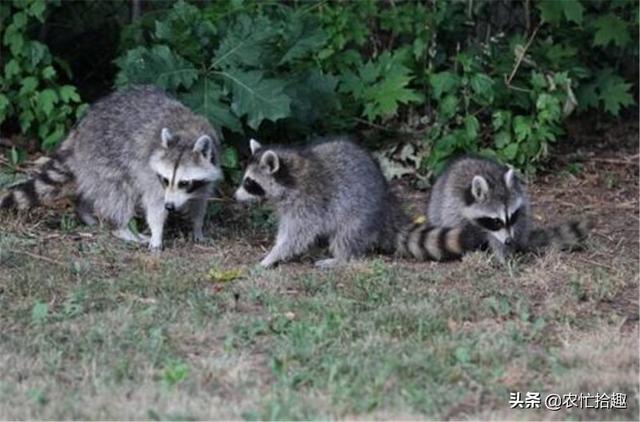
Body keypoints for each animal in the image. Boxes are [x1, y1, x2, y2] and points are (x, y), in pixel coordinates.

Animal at [0, 86, 221, 251]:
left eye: (184, 182)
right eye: (166, 180)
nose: (171, 206)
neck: (186, 133)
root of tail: (80, 130)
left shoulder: (208, 168)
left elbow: (200, 200)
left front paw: (197, 227)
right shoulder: (150, 173)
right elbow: (154, 203)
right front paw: (157, 232)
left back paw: (84, 210)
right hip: (104, 154)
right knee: (118, 193)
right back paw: (123, 228)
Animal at [232, 137, 488, 268]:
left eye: (249, 183)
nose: (235, 196)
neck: (291, 176)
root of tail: (386, 205)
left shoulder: (309, 203)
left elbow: (297, 235)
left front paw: (273, 256)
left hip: (359, 213)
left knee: (346, 235)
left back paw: (340, 258)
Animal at [428, 156, 592, 258]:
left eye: (511, 217)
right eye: (496, 221)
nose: (509, 241)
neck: (493, 182)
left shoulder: (519, 208)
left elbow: (515, 224)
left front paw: (504, 252)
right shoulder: (454, 205)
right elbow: (457, 225)